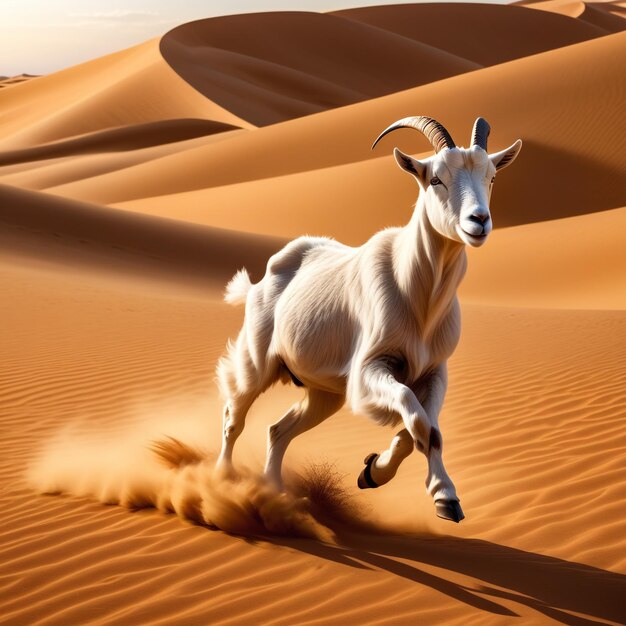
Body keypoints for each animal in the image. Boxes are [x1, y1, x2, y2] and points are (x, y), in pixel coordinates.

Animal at [217, 114, 520, 520]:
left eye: (492, 176)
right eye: (435, 178)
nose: (479, 221)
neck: (418, 298)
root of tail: (263, 278)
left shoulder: (434, 372)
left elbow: (424, 429)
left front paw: (374, 473)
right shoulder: (368, 371)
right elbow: (415, 417)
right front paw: (443, 494)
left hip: (324, 393)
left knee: (278, 430)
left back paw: (274, 491)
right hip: (257, 360)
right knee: (234, 417)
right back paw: (222, 480)